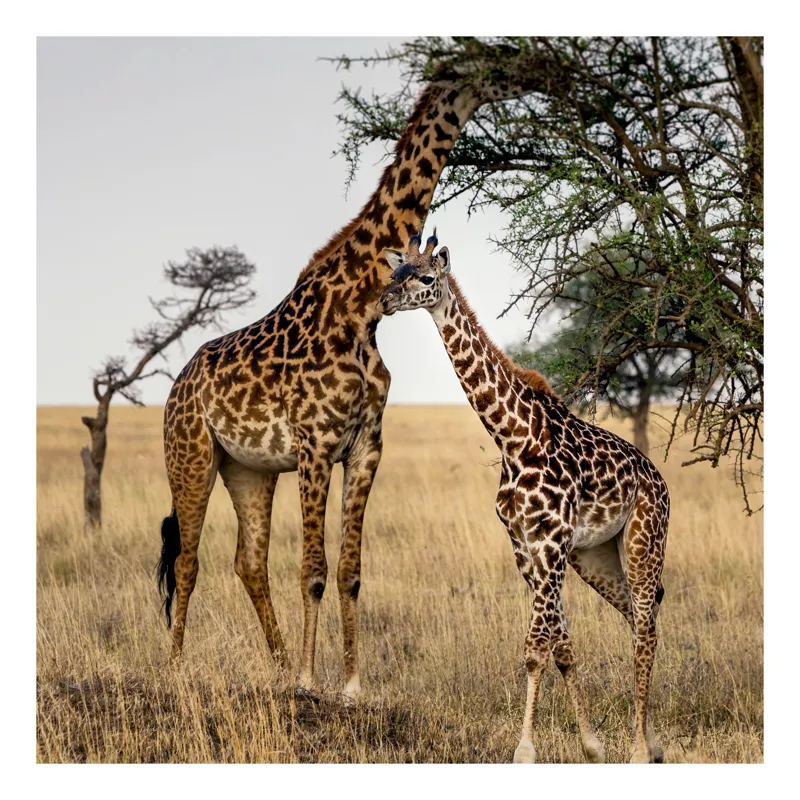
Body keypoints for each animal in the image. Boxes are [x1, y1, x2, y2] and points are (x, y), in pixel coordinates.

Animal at [156, 76, 531, 698]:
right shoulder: (315, 445)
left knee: (248, 561)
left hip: (249, 470)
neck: (357, 310)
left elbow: (351, 572)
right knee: (188, 558)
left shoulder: (366, 446)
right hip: (191, 456)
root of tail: (175, 389)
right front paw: (311, 681)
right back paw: (177, 667)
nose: (530, 75)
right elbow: (313, 570)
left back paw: (278, 664)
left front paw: (351, 684)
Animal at [379, 233, 669, 763]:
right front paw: (592, 745)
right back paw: (653, 742)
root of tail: (659, 481)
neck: (512, 437)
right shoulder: (523, 543)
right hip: (595, 556)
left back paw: (641, 749)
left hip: (644, 540)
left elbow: (536, 648)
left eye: (426, 277)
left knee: (645, 624)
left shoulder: (551, 541)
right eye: (395, 273)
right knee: (640, 619)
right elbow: (561, 646)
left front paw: (525, 751)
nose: (386, 302)